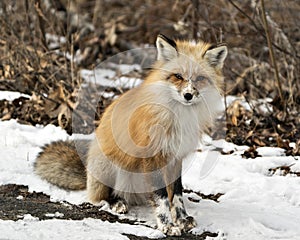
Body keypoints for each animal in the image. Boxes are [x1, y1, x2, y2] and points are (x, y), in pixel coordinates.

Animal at [34, 34, 227, 236]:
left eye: (199, 78)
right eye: (178, 76)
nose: (188, 95)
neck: (178, 116)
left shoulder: (175, 157)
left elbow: (177, 194)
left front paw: (182, 219)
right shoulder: (153, 156)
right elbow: (162, 199)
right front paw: (167, 225)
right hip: (111, 166)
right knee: (102, 196)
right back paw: (117, 203)